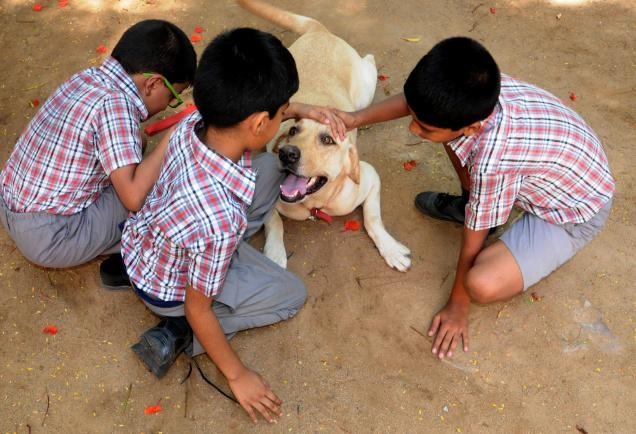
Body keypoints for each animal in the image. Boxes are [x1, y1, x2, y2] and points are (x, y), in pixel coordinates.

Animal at [238, 0, 412, 272]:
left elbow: (373, 219)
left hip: (364, 93)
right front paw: (275, 253)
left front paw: (390, 248)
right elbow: (274, 222)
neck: (315, 202)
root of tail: (320, 32)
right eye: (293, 131)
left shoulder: (370, 178)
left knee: (369, 66)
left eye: (328, 140)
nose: (287, 154)